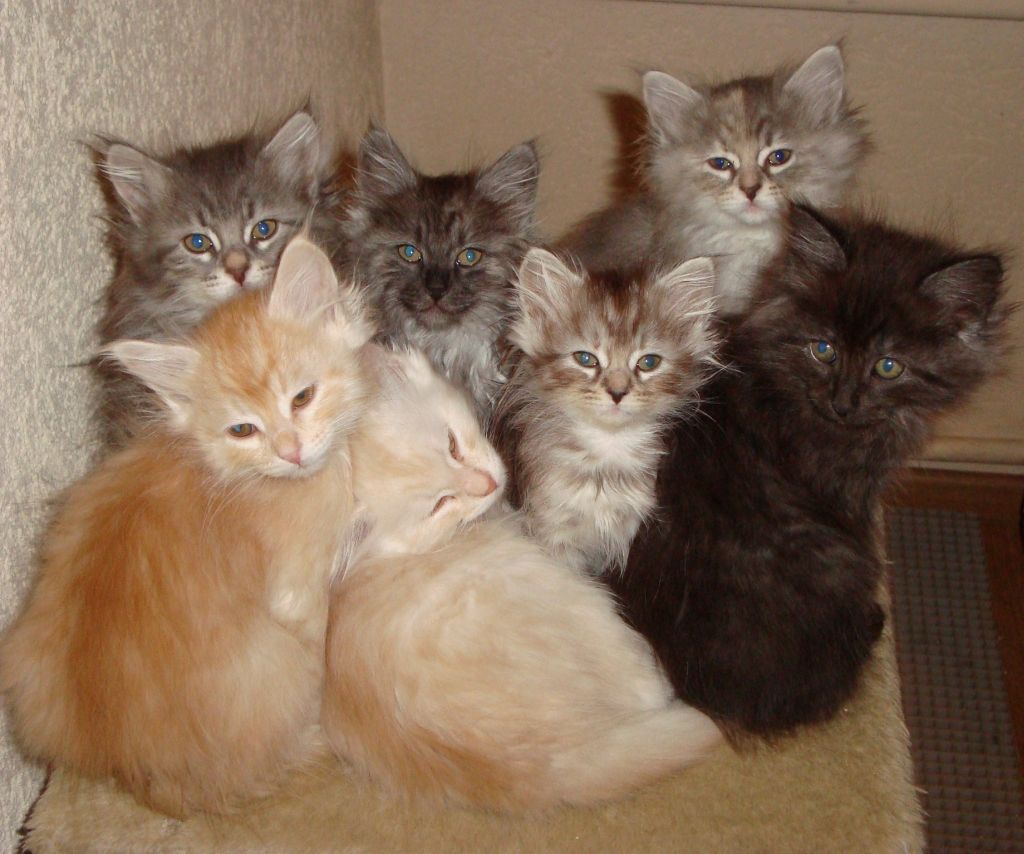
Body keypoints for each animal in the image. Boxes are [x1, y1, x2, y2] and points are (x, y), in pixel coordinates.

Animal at [0, 237, 374, 817]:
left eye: (302, 397)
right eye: (242, 430)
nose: (290, 451)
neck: (227, 471)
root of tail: (134, 771)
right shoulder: (300, 590)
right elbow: (321, 629)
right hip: (279, 662)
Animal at [321, 348, 721, 810]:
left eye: (452, 446)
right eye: (440, 504)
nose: (488, 484)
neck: (382, 556)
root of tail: (545, 768)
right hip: (581, 604)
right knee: (651, 687)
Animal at [491, 248, 720, 575]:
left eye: (648, 362)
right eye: (585, 359)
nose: (617, 393)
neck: (606, 452)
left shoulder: (629, 527)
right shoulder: (551, 526)